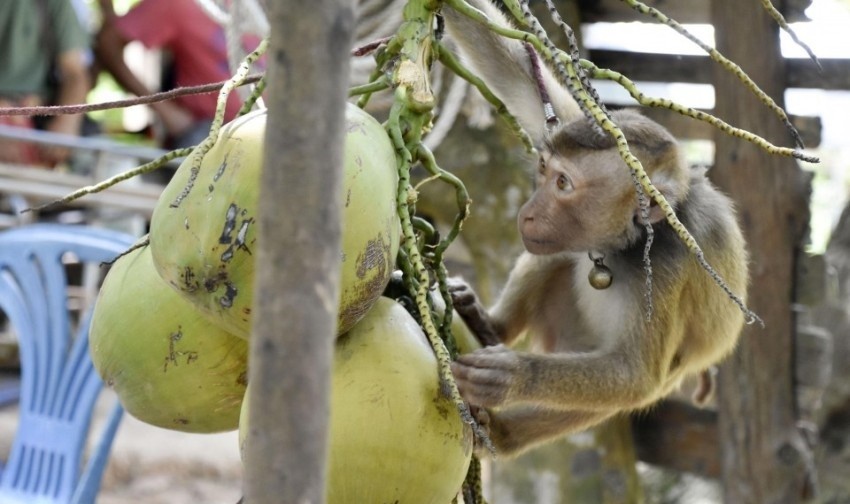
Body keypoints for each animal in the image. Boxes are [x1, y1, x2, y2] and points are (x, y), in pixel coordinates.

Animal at [440, 0, 744, 456]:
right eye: (545, 169)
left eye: (564, 184)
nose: (528, 213)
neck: (622, 246)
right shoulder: (576, 125)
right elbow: (518, 73)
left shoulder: (668, 267)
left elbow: (635, 375)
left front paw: (516, 376)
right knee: (559, 255)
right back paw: (491, 326)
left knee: (614, 393)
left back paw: (504, 434)